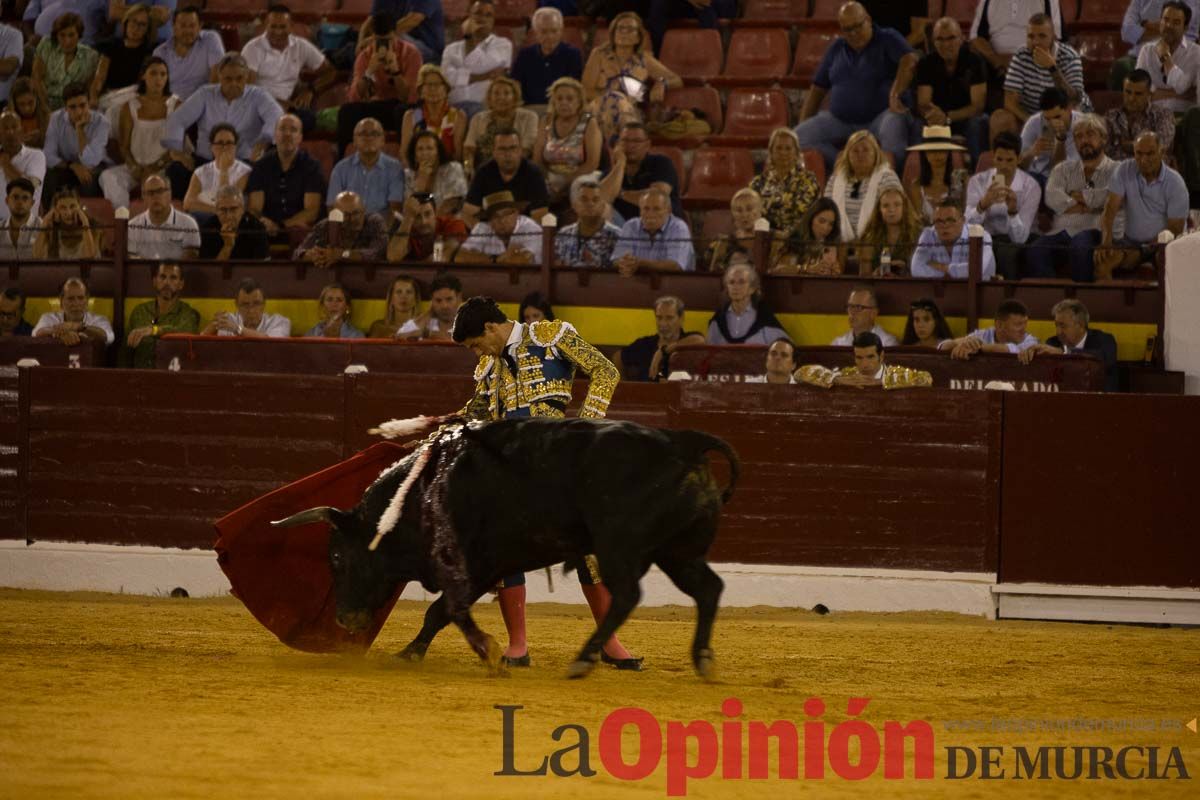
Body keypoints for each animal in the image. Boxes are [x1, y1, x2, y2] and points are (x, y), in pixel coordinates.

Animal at [273, 417, 739, 681]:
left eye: (336, 556)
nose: (345, 619)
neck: (421, 492)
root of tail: (683, 442)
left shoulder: (475, 564)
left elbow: (444, 609)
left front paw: (484, 653)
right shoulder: (490, 567)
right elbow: (444, 611)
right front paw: (421, 652)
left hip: (620, 547)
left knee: (625, 595)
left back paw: (585, 660)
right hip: (677, 552)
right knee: (708, 589)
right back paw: (703, 659)